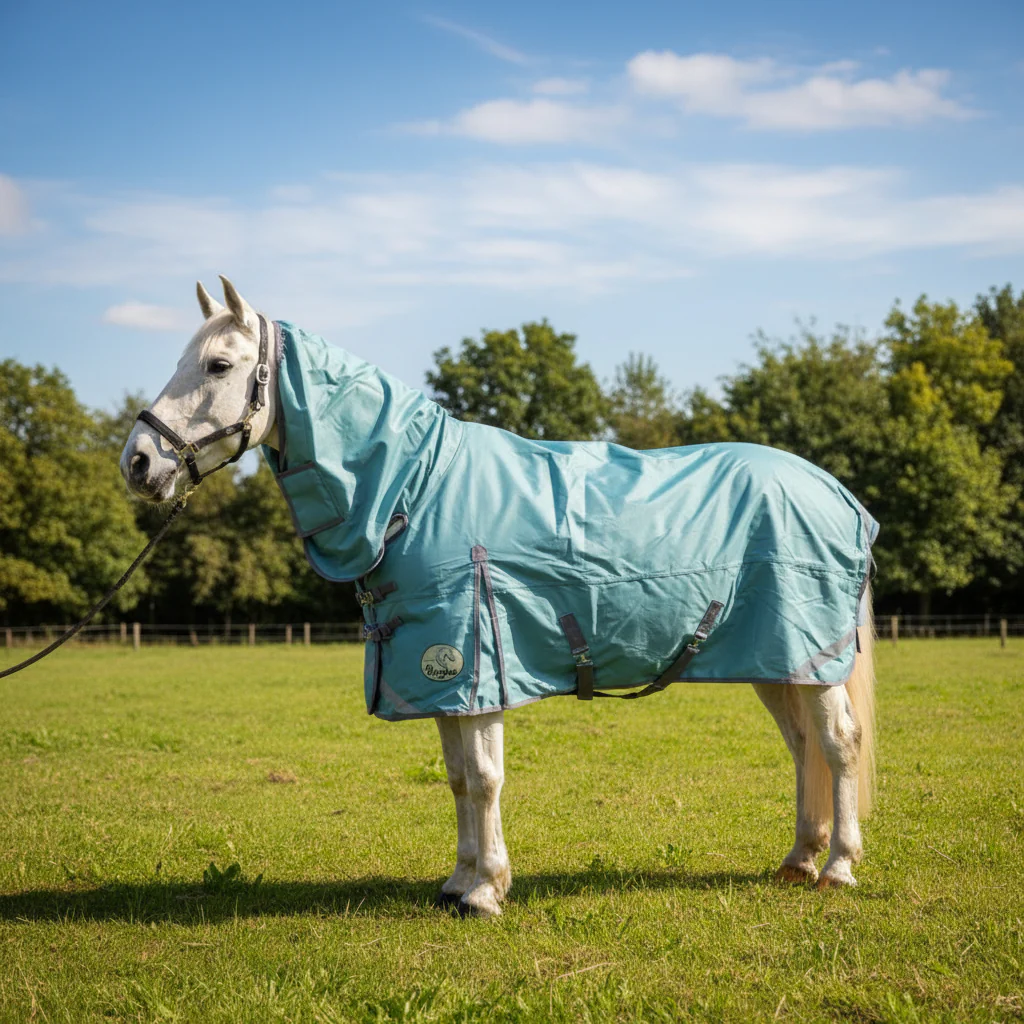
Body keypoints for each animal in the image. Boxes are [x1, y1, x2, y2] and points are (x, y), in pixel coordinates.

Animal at [120, 276, 876, 919]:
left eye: (219, 365)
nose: (138, 462)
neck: (416, 487)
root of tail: (835, 491)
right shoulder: (439, 675)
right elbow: (457, 778)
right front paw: (459, 882)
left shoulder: (472, 663)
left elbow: (484, 777)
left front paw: (486, 892)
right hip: (780, 663)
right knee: (802, 746)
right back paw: (799, 860)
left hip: (815, 661)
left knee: (837, 744)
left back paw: (838, 867)